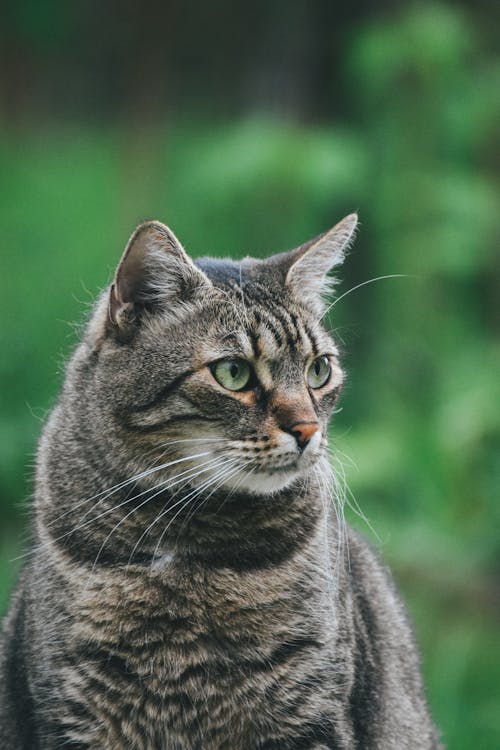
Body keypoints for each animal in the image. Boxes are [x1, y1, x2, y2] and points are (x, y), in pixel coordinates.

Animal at [0, 214, 442, 748]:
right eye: (233, 373)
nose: (308, 430)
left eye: (319, 370)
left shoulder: (309, 715)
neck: (191, 545)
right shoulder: (71, 713)